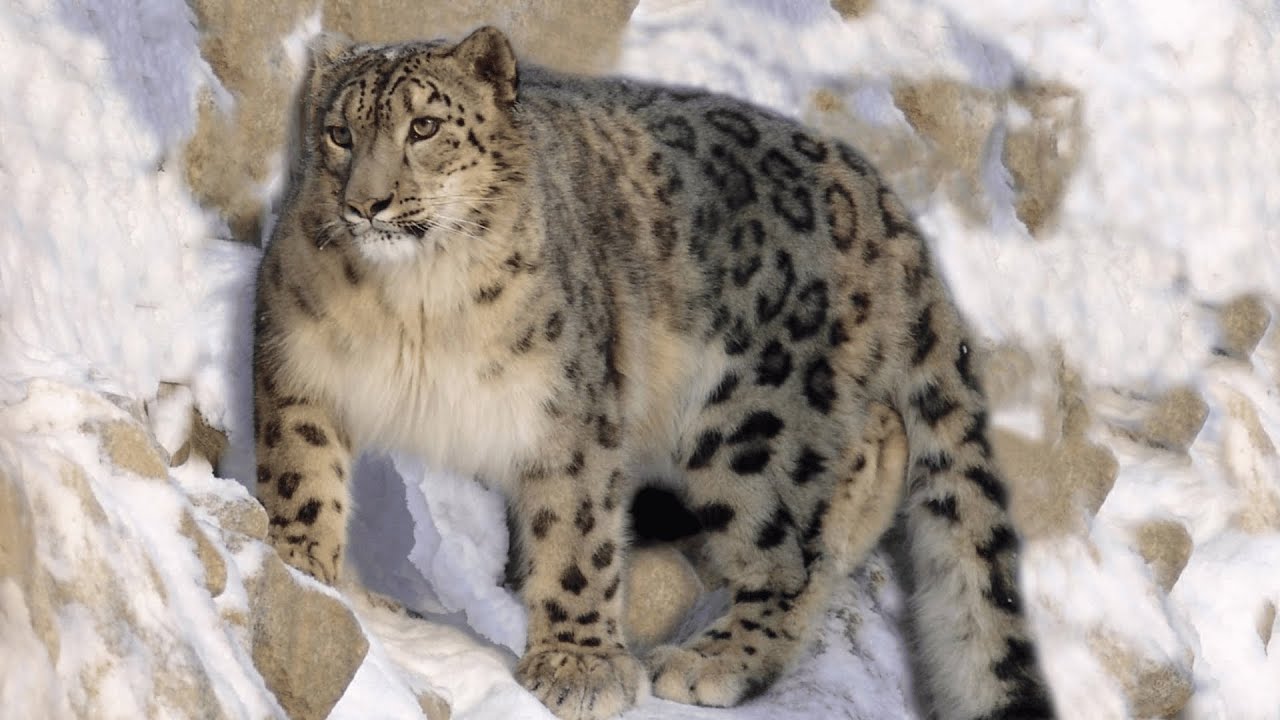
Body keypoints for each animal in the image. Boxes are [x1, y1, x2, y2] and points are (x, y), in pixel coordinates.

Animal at [251, 25, 1055, 720]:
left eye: (423, 127)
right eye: (339, 132)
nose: (367, 203)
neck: (413, 307)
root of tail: (885, 203)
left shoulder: (568, 409)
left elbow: (576, 534)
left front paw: (578, 667)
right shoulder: (297, 362)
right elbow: (301, 472)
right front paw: (306, 569)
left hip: (758, 423)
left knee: (790, 545)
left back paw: (714, 660)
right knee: (875, 446)